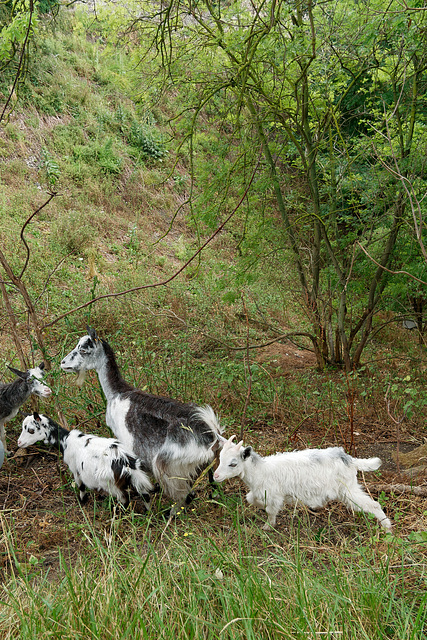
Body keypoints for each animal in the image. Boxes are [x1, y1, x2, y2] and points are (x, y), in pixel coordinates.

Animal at [19, 412, 155, 508]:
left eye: (30, 430)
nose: (19, 443)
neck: (65, 441)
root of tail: (125, 460)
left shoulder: (75, 469)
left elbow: (81, 486)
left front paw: (82, 500)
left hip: (111, 483)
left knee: (124, 499)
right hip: (136, 479)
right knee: (145, 496)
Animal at [60, 328, 224, 512]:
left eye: (83, 350)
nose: (63, 363)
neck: (117, 393)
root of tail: (212, 436)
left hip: (171, 466)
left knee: (186, 495)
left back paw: (169, 513)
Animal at [216, 438, 392, 532]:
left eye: (233, 463)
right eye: (220, 458)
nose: (216, 476)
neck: (260, 470)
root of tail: (349, 459)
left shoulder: (274, 495)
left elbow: (271, 511)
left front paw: (268, 526)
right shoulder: (261, 491)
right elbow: (250, 498)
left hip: (348, 489)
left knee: (373, 505)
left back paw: (387, 528)